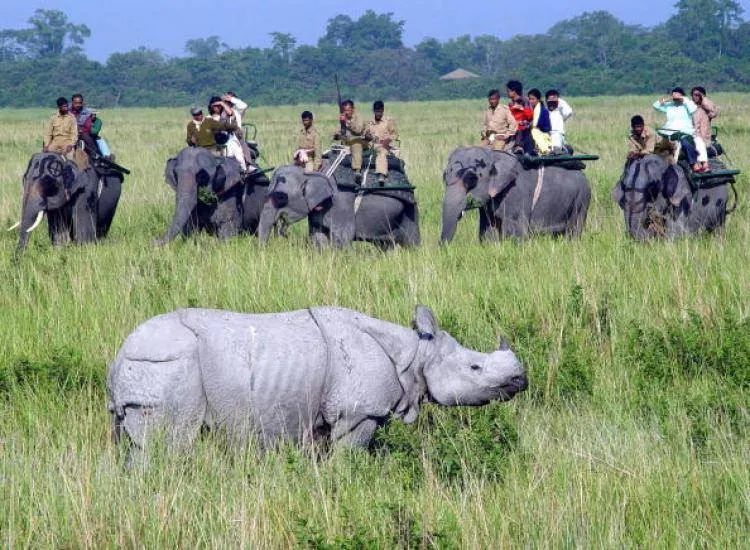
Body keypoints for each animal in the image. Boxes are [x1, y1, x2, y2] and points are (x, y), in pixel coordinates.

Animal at [107, 306, 528, 462]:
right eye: (475, 367)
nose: (521, 380)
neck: (415, 354)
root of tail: (119, 356)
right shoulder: (359, 414)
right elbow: (349, 459)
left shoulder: (323, 417)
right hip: (166, 365)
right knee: (170, 446)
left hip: (148, 368)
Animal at [258, 164, 424, 250]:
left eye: (281, 197)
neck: (310, 173)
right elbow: (317, 235)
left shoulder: (340, 202)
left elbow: (342, 237)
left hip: (410, 209)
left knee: (411, 241)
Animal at [440, 148, 592, 243]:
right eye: (444, 176)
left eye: (471, 180)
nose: (442, 249)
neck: (494, 155)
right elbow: (488, 230)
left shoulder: (516, 194)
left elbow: (515, 231)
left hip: (582, 198)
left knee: (574, 229)